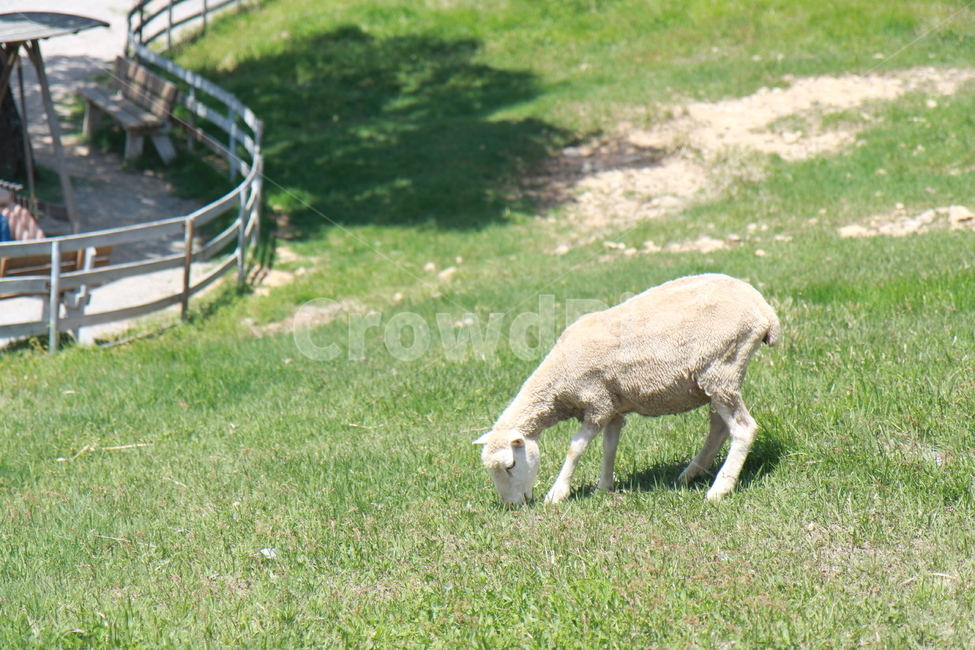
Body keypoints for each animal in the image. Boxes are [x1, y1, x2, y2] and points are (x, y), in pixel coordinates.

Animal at [474, 273, 779, 505]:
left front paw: (557, 494)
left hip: (721, 367)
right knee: (719, 427)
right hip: (717, 377)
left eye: (510, 465)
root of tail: (763, 309)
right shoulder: (613, 406)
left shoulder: (598, 404)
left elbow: (575, 448)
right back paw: (692, 473)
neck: (558, 383)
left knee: (743, 428)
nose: (513, 505)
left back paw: (720, 488)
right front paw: (603, 487)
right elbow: (610, 446)